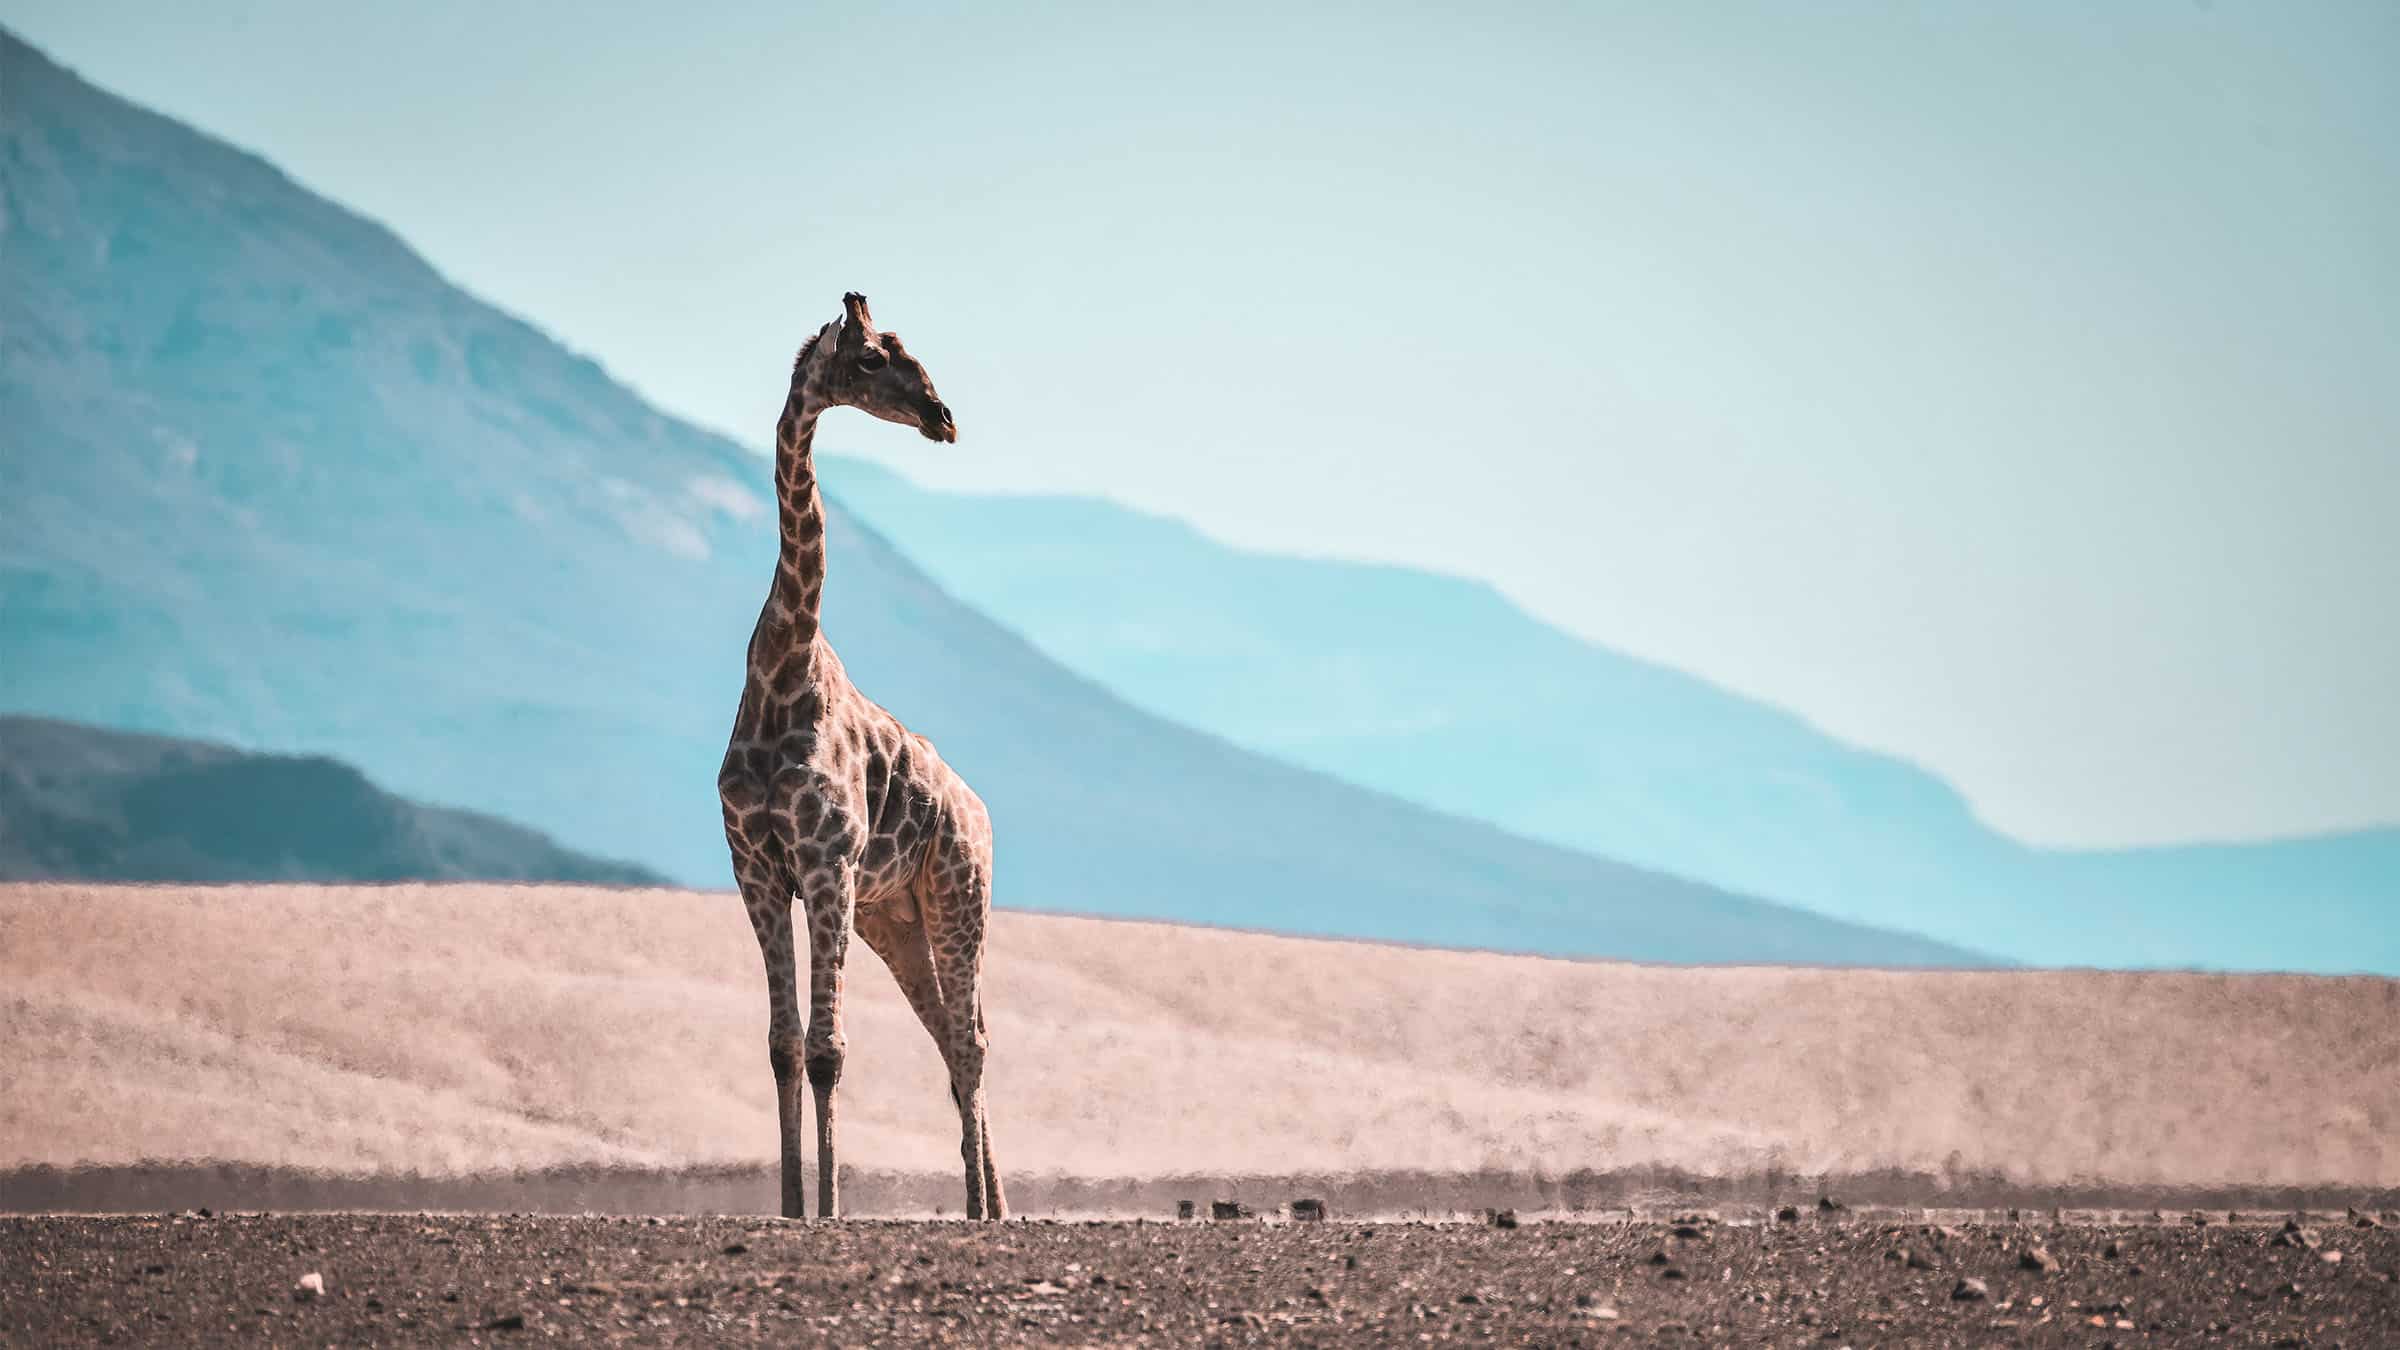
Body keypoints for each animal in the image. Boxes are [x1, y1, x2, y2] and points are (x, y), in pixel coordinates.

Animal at [718, 292, 1004, 1221]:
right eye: (876, 358)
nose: (944, 418)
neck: (781, 671)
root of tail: (980, 811)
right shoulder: (758, 867)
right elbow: (782, 1045)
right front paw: (790, 1205)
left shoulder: (827, 864)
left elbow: (828, 1049)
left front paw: (834, 1207)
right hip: (897, 918)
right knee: (951, 1038)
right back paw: (991, 1202)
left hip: (958, 895)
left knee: (971, 1040)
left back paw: (981, 1210)